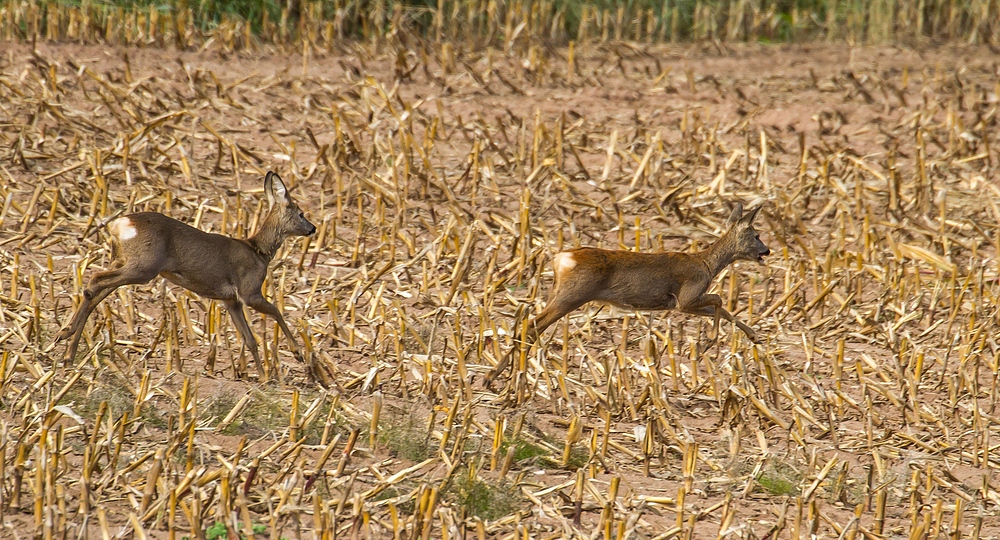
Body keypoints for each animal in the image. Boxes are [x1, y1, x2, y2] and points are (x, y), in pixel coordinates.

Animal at [53, 171, 316, 378]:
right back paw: (66, 339)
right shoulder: (249, 291)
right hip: (143, 267)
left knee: (96, 292)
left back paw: (66, 349)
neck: (258, 251)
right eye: (301, 213)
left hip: (123, 261)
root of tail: (119, 225)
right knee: (95, 282)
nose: (312, 229)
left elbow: (249, 339)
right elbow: (277, 311)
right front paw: (297, 355)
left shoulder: (231, 301)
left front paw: (262, 377)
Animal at [488, 204, 768, 388]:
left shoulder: (683, 302)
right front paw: (707, 344)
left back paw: (499, 377)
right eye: (757, 235)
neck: (706, 264)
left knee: (526, 323)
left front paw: (754, 337)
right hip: (571, 295)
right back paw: (497, 378)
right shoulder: (685, 298)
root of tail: (560, 259)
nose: (766, 251)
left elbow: (726, 309)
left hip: (558, 293)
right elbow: (720, 299)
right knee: (532, 326)